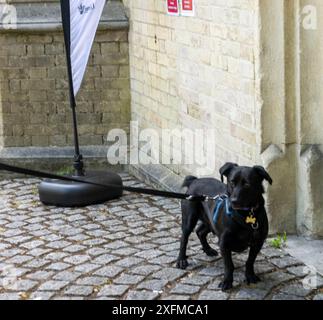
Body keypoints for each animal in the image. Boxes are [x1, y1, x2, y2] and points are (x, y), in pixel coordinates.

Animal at [177, 164, 274, 292]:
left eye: (247, 184)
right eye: (232, 182)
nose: (234, 201)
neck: (245, 214)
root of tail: (194, 181)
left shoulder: (257, 243)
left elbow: (250, 261)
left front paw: (250, 276)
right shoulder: (224, 243)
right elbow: (229, 265)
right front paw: (227, 281)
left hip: (210, 220)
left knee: (200, 232)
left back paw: (208, 250)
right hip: (190, 219)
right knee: (184, 238)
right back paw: (181, 260)